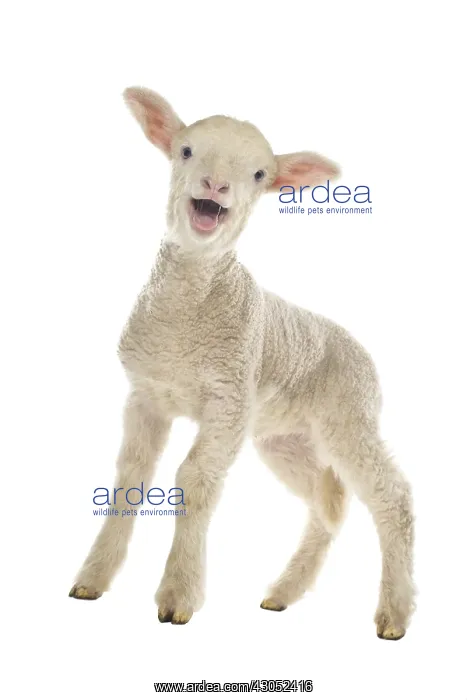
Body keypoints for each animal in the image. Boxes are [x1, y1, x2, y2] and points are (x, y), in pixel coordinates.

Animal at [69, 87, 415, 640]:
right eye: (186, 150)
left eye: (259, 175)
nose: (217, 185)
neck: (185, 317)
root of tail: (360, 350)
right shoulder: (146, 393)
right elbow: (130, 478)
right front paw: (93, 578)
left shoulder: (228, 398)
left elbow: (193, 480)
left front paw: (178, 596)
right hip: (284, 438)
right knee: (327, 502)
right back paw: (283, 594)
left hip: (349, 417)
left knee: (391, 497)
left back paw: (393, 615)